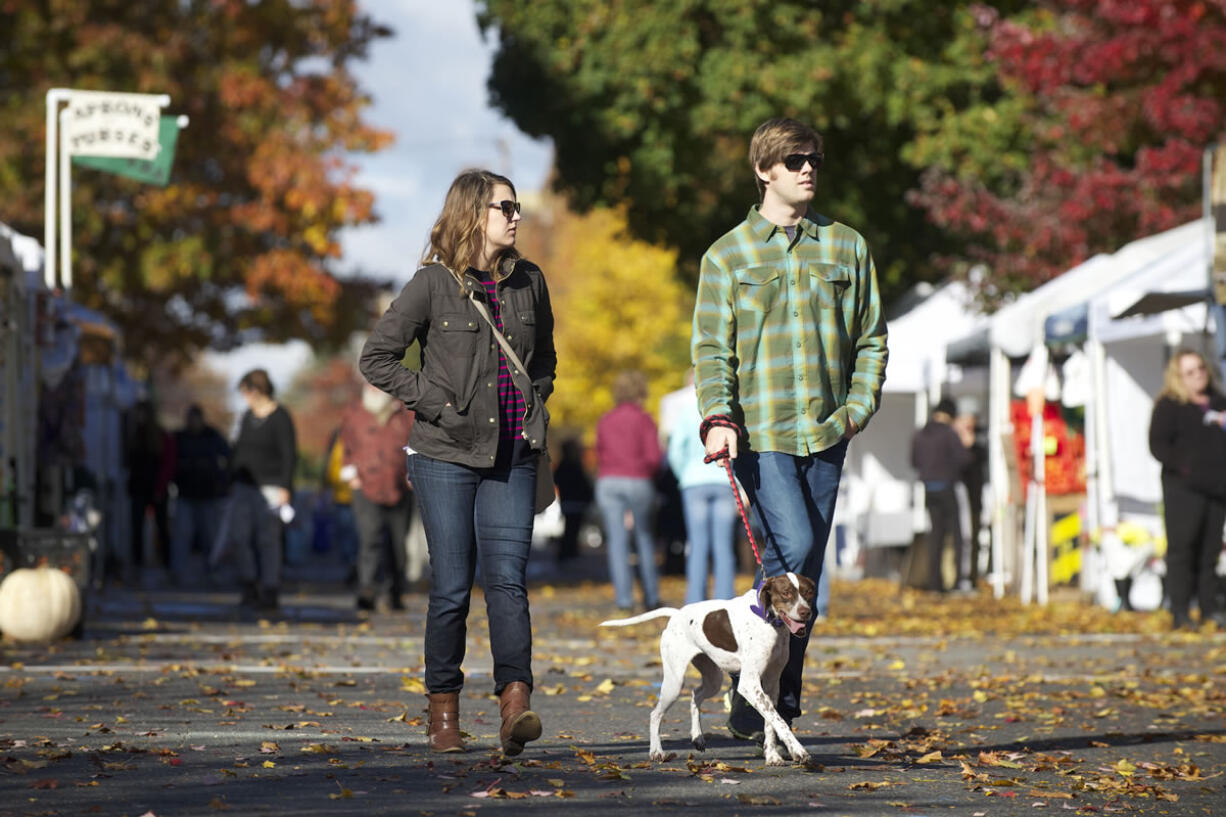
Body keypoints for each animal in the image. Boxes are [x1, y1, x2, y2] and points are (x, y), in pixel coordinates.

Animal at [600, 569, 814, 760]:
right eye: (786, 593)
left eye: (808, 593)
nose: (806, 612)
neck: (770, 622)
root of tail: (677, 614)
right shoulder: (749, 684)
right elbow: (779, 721)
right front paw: (797, 750)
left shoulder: (771, 684)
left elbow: (771, 722)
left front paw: (771, 755)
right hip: (674, 683)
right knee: (655, 714)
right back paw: (656, 751)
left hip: (713, 679)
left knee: (695, 695)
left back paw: (697, 737)